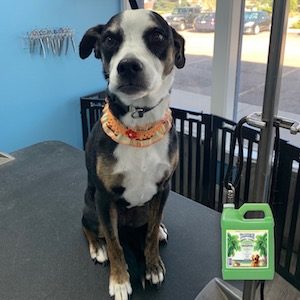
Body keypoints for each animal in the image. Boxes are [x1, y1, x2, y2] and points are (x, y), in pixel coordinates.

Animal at [78, 8, 184, 298]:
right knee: (87, 225)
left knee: (149, 225)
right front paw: (119, 280)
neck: (139, 127)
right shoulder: (104, 198)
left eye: (157, 36)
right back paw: (97, 248)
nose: (127, 66)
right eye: (109, 39)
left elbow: (149, 236)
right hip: (91, 204)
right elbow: (115, 245)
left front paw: (152, 266)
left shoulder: (163, 188)